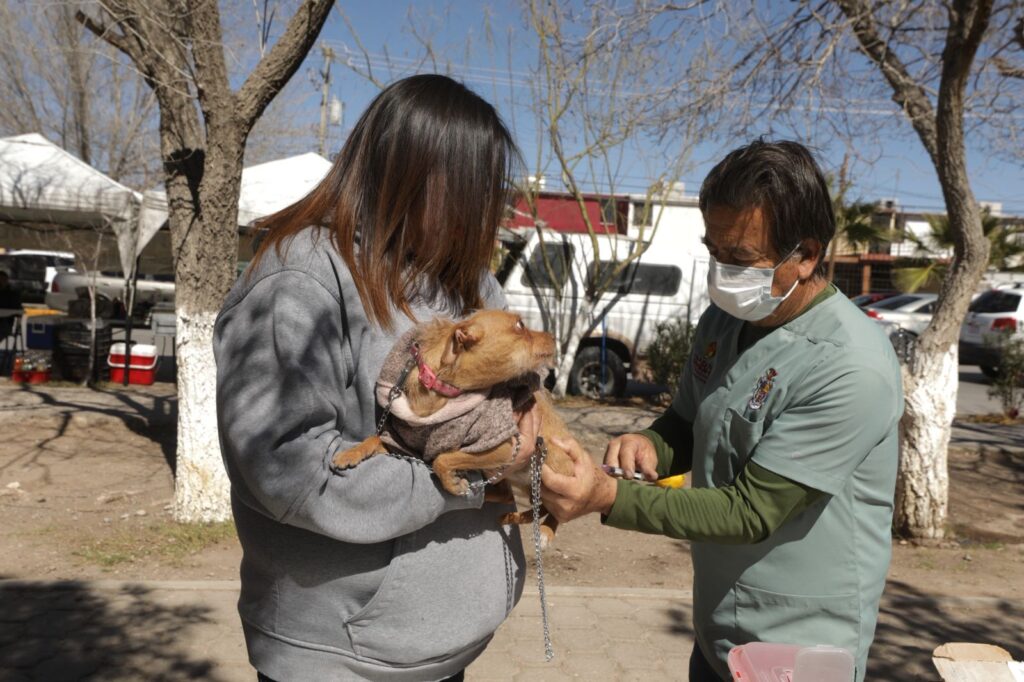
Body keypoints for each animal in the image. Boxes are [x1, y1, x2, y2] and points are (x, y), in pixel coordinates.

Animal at [331, 309, 575, 544]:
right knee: (514, 497)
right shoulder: (404, 447)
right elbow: (376, 438)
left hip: (547, 467)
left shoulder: (507, 448)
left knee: (550, 507)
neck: (440, 398)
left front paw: (450, 482)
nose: (554, 336)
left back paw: (545, 530)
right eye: (520, 325)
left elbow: (442, 458)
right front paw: (349, 454)